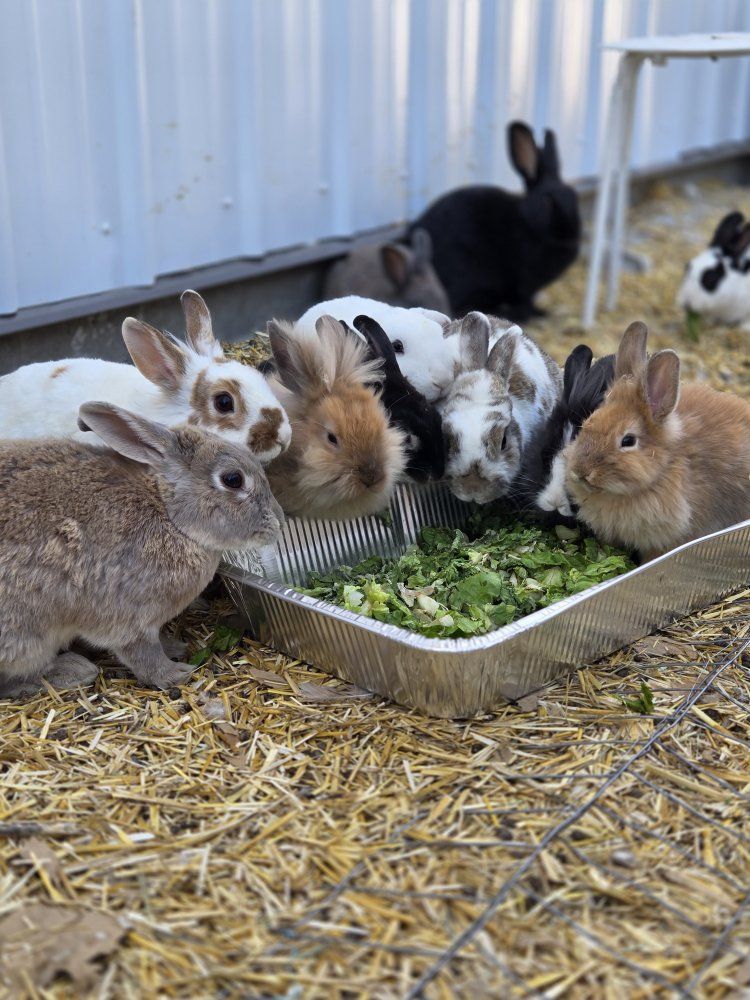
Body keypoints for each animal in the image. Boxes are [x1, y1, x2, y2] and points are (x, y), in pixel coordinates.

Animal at [0, 402, 283, 698]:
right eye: (232, 479)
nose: (279, 520)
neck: (169, 514)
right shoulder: (127, 619)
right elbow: (142, 652)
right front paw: (174, 673)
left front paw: (176, 646)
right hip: (26, 637)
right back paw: (73, 670)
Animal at [407, 121, 580, 321]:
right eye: (547, 201)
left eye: (575, 196)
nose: (571, 235)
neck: (529, 225)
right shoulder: (525, 282)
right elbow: (525, 300)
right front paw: (533, 314)